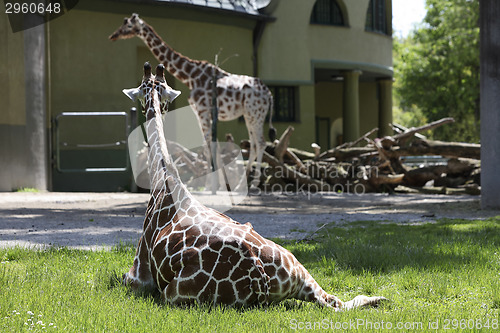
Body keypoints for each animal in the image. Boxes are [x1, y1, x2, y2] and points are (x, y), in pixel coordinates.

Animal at [110, 13, 278, 183]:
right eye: (123, 24)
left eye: (128, 26)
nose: (113, 35)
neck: (190, 75)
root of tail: (269, 94)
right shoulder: (200, 112)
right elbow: (211, 145)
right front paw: (218, 183)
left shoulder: (203, 111)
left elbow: (209, 145)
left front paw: (212, 184)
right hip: (249, 115)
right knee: (254, 144)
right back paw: (243, 181)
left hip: (255, 114)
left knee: (261, 143)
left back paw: (255, 183)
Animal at [122, 62, 386, 308]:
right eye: (151, 89)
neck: (164, 180)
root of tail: (260, 278)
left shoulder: (139, 275)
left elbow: (125, 278)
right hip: (299, 271)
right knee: (337, 301)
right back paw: (380, 299)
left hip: (172, 294)